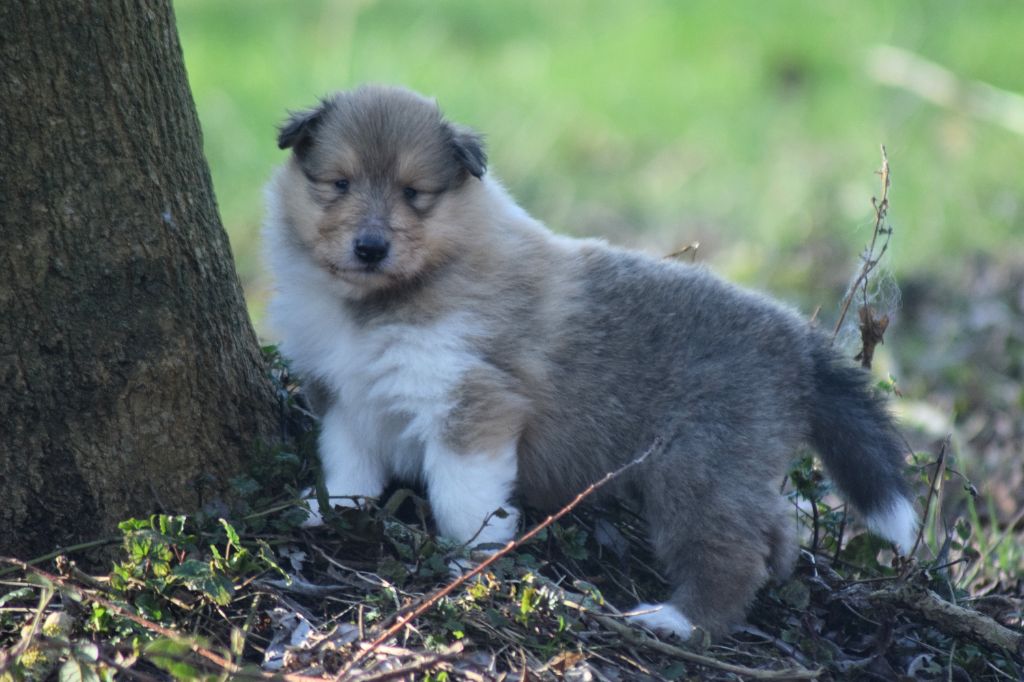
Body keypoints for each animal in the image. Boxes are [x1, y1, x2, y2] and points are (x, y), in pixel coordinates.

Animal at [262, 86, 913, 638]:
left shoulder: (473, 401)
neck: (384, 299)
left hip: (698, 468)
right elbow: (347, 466)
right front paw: (329, 513)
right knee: (775, 532)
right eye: (339, 183)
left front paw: (474, 560)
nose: (371, 248)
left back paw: (677, 621)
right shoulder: (346, 396)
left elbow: (463, 498)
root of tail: (798, 342)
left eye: (413, 193)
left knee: (730, 554)